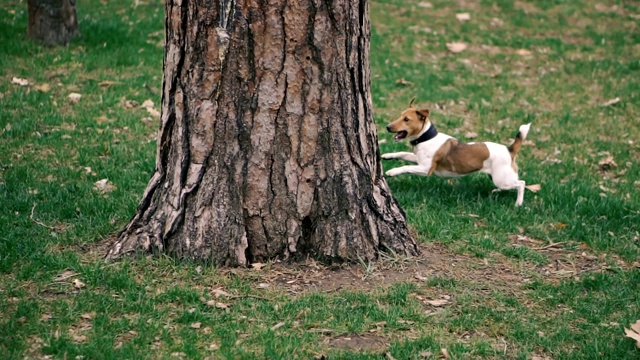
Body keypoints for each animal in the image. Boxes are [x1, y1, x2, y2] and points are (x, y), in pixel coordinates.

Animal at [382, 98, 532, 207]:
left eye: (406, 119)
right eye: (400, 116)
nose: (387, 127)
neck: (427, 137)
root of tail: (509, 149)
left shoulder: (426, 169)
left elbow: (406, 167)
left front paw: (392, 171)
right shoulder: (417, 159)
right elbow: (402, 153)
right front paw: (387, 156)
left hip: (502, 179)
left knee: (521, 183)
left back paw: (518, 203)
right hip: (497, 177)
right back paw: (497, 191)